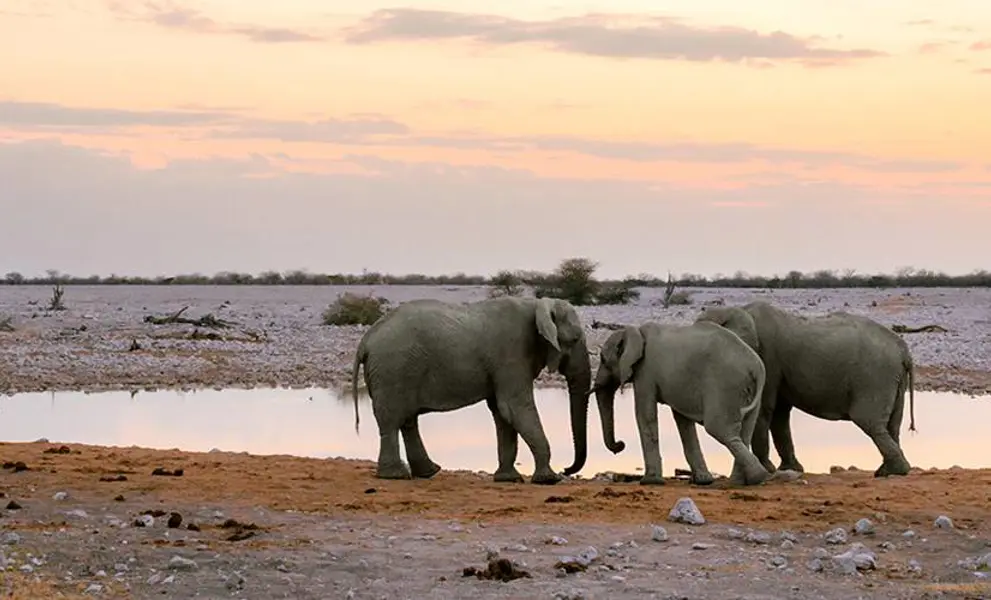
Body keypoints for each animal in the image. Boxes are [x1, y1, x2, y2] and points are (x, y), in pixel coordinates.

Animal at [350, 296, 592, 484]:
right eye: (574, 339)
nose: (566, 469)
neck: (537, 304)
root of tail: (365, 340)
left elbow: (502, 412)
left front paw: (508, 479)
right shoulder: (511, 354)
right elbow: (514, 407)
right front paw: (549, 480)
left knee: (407, 420)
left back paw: (427, 472)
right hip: (392, 369)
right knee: (392, 420)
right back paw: (396, 476)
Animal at [563, 321, 769, 487]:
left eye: (604, 360)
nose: (620, 444)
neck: (636, 332)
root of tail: (756, 368)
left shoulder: (645, 371)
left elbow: (644, 415)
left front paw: (650, 482)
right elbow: (683, 421)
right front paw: (703, 481)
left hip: (724, 385)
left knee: (719, 429)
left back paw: (757, 477)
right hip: (746, 391)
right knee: (744, 431)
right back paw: (743, 481)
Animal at [695, 300, 916, 478]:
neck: (737, 309)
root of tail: (904, 351)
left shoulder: (767, 358)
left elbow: (765, 410)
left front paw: (769, 469)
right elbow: (780, 414)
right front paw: (789, 469)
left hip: (875, 377)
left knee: (869, 421)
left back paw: (892, 471)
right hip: (892, 379)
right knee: (892, 425)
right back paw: (889, 470)